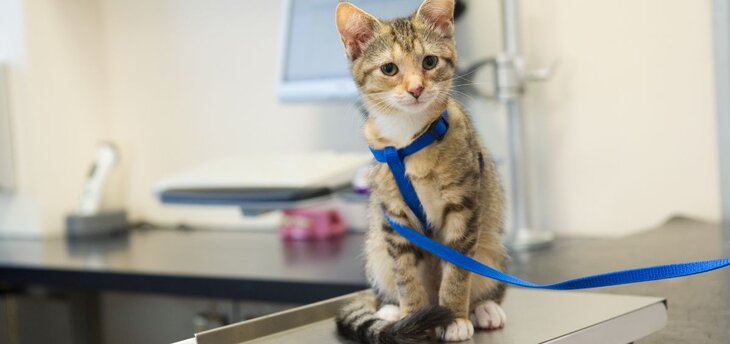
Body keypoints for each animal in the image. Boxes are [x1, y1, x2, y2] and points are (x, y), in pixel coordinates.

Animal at [336, 0, 506, 342]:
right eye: (389, 68)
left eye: (429, 61)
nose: (416, 88)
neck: (409, 138)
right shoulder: (395, 220)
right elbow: (405, 274)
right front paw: (411, 316)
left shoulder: (464, 206)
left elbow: (457, 270)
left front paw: (454, 317)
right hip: (376, 250)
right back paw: (390, 310)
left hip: (492, 244)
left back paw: (485, 308)